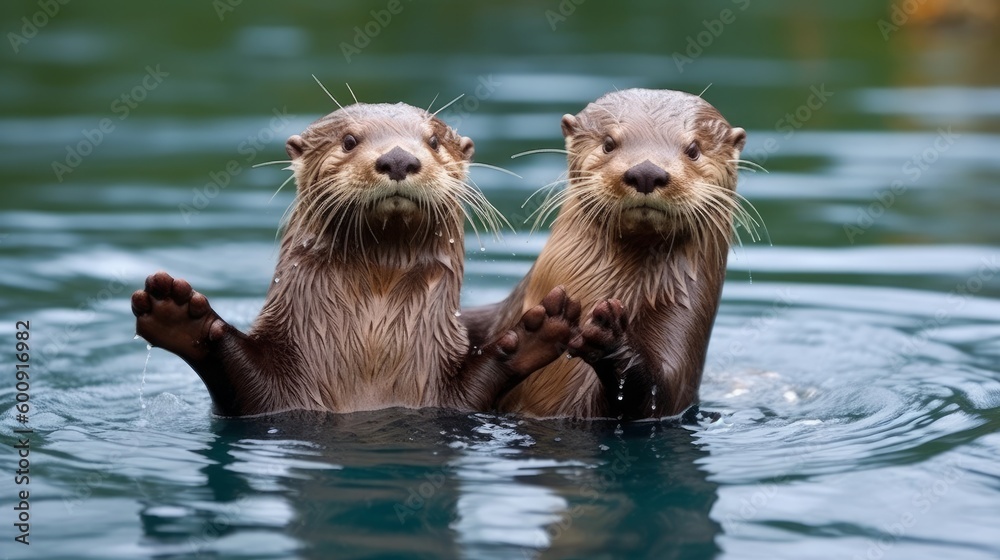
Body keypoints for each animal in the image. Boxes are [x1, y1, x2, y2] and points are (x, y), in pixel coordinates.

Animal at [132, 102, 580, 417]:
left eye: (433, 141)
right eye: (349, 140)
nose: (398, 158)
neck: (370, 343)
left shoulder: (450, 389)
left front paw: (535, 332)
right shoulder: (272, 394)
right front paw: (178, 315)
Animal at [463, 89, 749, 420]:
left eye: (693, 149)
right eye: (609, 143)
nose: (646, 171)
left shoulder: (678, 361)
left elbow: (654, 394)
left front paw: (610, 337)